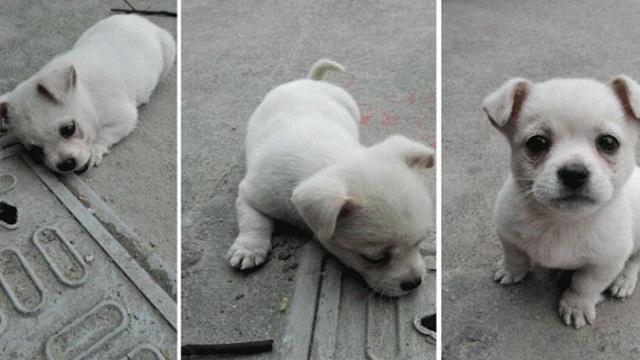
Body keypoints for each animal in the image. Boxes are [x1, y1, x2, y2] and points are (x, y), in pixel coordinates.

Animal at [0, 16, 175, 174]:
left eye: (68, 129)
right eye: (35, 150)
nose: (65, 165)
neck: (87, 94)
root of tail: (138, 19)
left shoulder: (124, 119)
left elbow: (104, 135)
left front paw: (95, 151)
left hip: (169, 50)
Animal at [226, 59, 436, 298]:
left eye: (420, 242)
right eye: (374, 258)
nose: (414, 283)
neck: (330, 160)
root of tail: (309, 81)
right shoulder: (253, 193)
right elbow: (254, 219)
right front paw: (249, 248)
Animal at [482, 76, 640, 330]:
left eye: (608, 142)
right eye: (537, 142)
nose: (574, 173)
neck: (561, 221)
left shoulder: (606, 262)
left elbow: (584, 285)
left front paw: (576, 306)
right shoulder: (506, 232)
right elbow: (515, 255)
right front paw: (510, 270)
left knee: (635, 258)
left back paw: (624, 280)